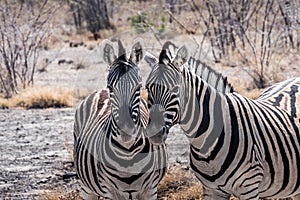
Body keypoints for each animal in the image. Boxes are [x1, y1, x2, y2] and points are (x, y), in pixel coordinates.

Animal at [72, 39, 166, 199]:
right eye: (111, 87)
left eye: (138, 87)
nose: (126, 131)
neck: (127, 153)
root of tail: (100, 91)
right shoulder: (110, 191)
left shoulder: (150, 190)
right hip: (87, 187)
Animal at [144, 41, 298, 199]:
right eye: (147, 88)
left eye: (175, 89)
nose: (154, 134)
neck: (205, 144)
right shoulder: (212, 189)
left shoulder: (249, 187)